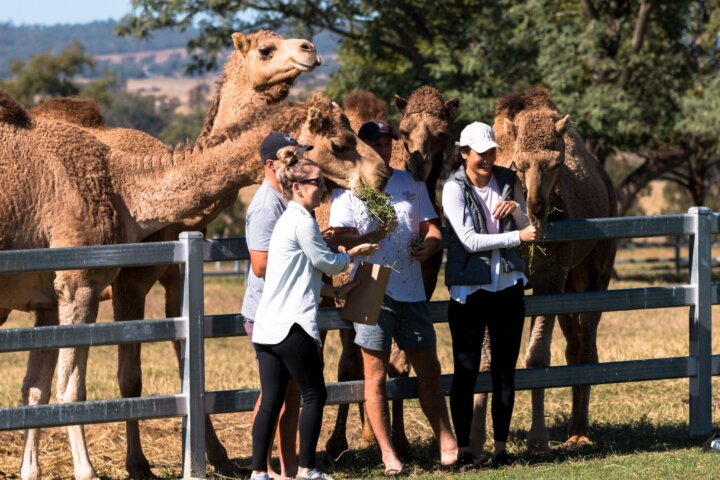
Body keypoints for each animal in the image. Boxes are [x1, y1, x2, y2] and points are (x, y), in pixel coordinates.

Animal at [2, 89, 390, 480]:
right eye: (340, 143)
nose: (382, 173)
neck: (121, 188)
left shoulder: (48, 299)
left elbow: (35, 389)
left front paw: (30, 471)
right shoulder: (78, 282)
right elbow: (72, 389)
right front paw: (87, 471)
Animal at [466, 87, 620, 454]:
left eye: (556, 164)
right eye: (518, 165)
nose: (536, 207)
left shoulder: (549, 279)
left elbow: (536, 358)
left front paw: (538, 438)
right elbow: (487, 360)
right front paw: (477, 440)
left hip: (597, 270)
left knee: (587, 346)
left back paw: (579, 431)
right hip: (570, 283)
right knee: (574, 347)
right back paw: (574, 429)